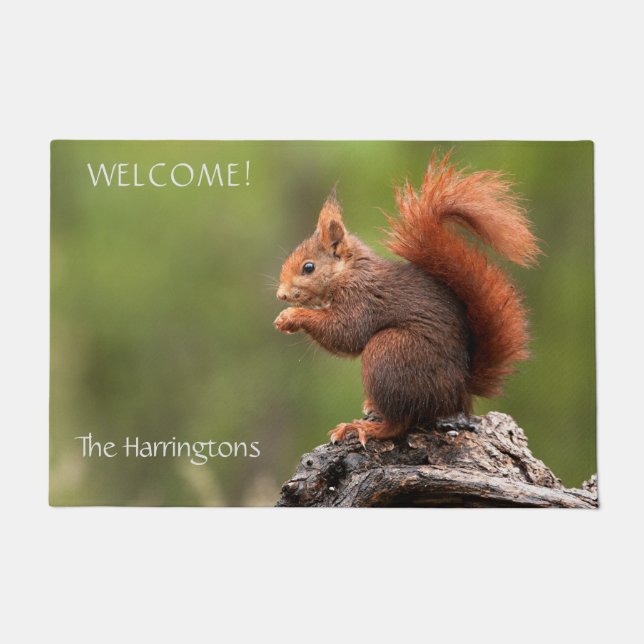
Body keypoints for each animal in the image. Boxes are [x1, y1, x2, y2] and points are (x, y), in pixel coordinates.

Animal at [274, 152, 540, 446]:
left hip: (390, 353)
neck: (348, 272)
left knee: (400, 423)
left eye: (308, 267)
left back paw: (366, 428)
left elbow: (347, 333)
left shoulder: (363, 299)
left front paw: (292, 316)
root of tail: (459, 391)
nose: (281, 294)